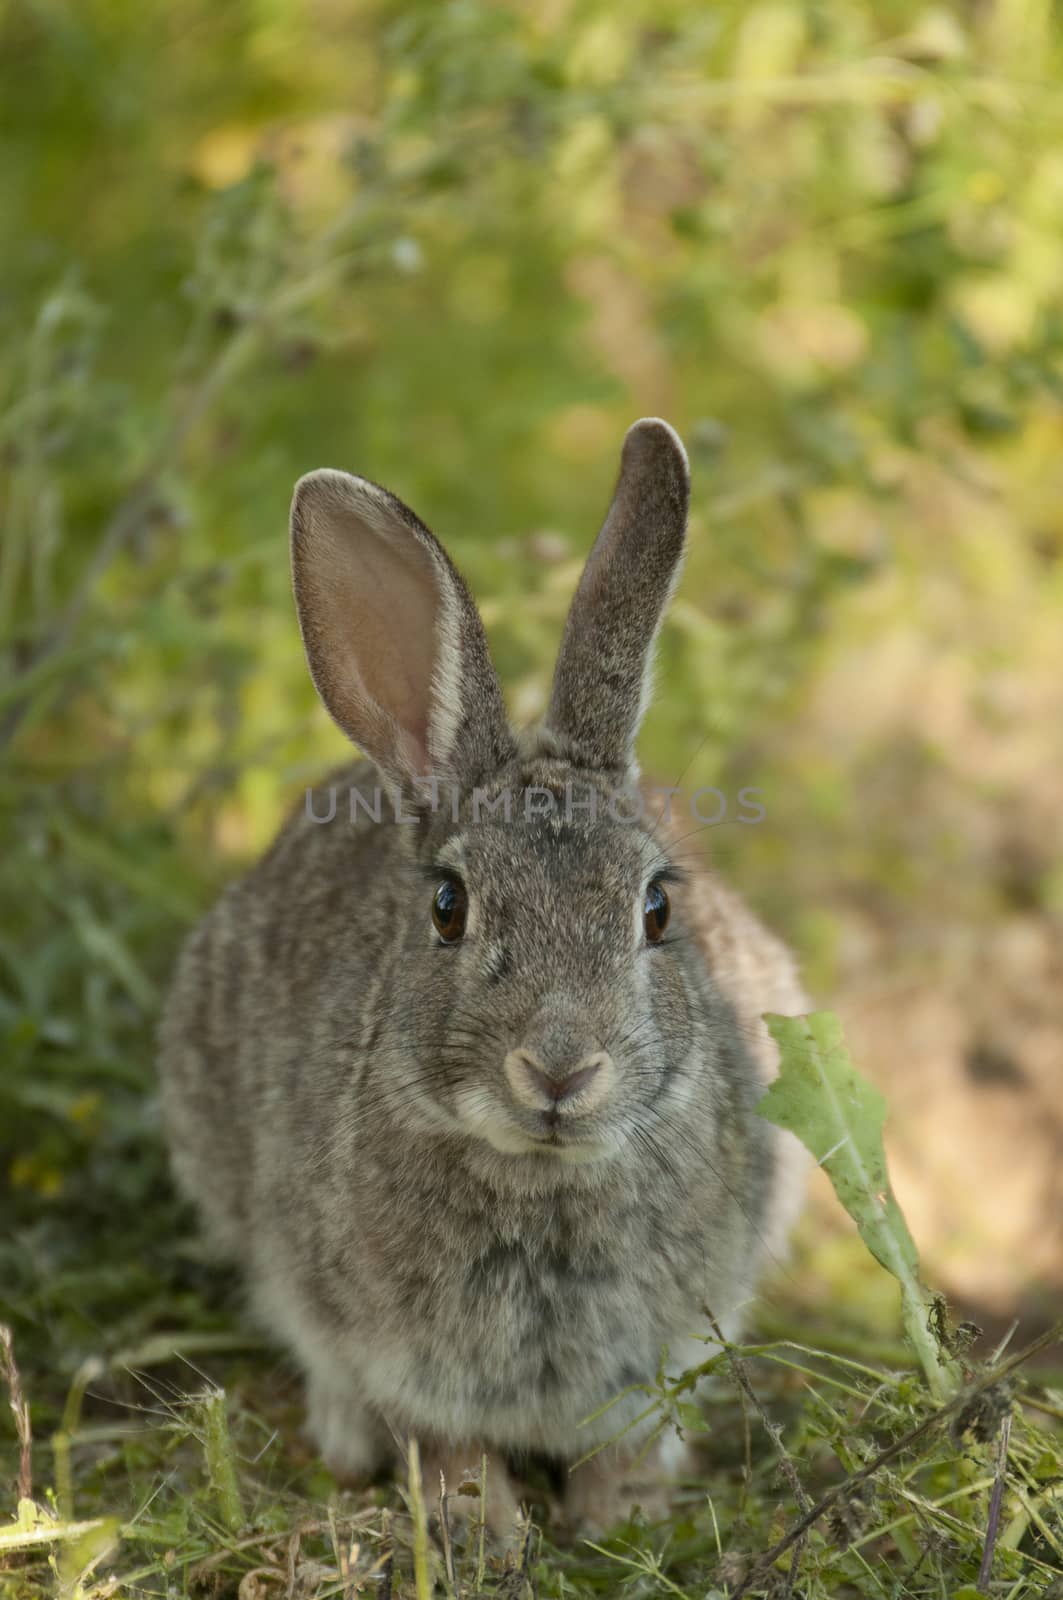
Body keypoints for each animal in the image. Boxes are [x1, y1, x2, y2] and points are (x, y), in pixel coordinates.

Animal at [157, 419, 806, 1529]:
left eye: (655, 910)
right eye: (448, 908)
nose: (558, 1069)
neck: (538, 1178)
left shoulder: (671, 1337)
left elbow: (626, 1436)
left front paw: (620, 1513)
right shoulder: (384, 1344)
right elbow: (440, 1437)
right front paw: (480, 1525)